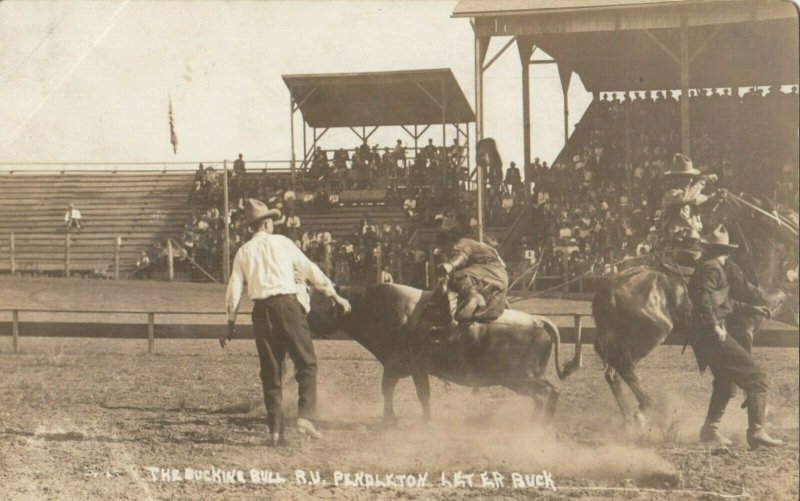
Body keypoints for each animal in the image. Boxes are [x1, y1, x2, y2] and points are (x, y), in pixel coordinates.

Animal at [308, 284, 580, 424]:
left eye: (319, 304)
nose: (308, 323)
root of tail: (537, 320)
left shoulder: (409, 368)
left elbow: (415, 394)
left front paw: (415, 420)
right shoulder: (399, 368)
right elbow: (391, 391)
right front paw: (392, 418)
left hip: (519, 377)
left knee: (545, 394)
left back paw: (536, 425)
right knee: (548, 395)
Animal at [592, 193, 796, 424]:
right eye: (789, 214)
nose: (795, 233)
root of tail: (607, 289)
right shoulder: (745, 329)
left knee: (612, 373)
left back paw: (629, 419)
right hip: (648, 335)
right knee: (623, 368)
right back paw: (643, 409)